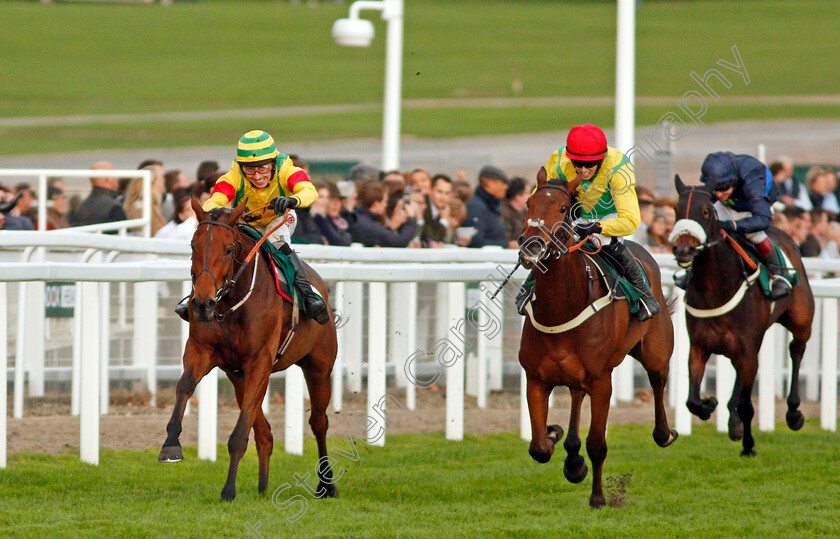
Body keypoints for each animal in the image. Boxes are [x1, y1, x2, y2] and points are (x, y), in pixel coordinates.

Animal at [161, 198, 338, 502]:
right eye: (193, 246)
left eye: (229, 249)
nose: (202, 304)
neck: (229, 303)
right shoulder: (200, 350)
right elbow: (184, 385)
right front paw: (171, 444)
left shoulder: (259, 363)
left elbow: (239, 434)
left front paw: (228, 490)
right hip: (238, 378)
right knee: (265, 433)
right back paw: (263, 487)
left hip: (319, 368)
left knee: (318, 422)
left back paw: (326, 484)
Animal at [516, 167, 680, 508]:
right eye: (528, 203)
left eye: (563, 208)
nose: (532, 246)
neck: (561, 310)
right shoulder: (536, 378)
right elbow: (538, 447)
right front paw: (558, 441)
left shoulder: (603, 380)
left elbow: (597, 444)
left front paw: (598, 497)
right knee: (577, 397)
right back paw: (571, 454)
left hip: (656, 349)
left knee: (658, 381)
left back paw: (665, 433)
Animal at [668, 177, 812, 456]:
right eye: (676, 210)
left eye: (705, 211)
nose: (683, 250)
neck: (715, 288)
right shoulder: (699, 347)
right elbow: (692, 400)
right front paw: (709, 404)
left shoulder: (748, 351)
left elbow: (745, 405)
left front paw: (747, 443)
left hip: (801, 321)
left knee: (797, 350)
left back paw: (794, 413)